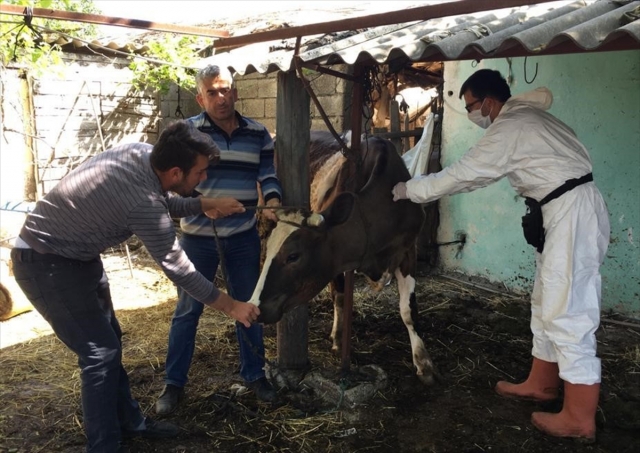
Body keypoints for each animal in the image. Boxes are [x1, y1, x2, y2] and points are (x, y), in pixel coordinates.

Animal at [250, 129, 436, 384]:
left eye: (293, 256)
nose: (257, 308)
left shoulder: (408, 250)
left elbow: (409, 311)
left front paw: (423, 363)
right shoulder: (339, 259)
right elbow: (341, 297)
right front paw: (339, 340)